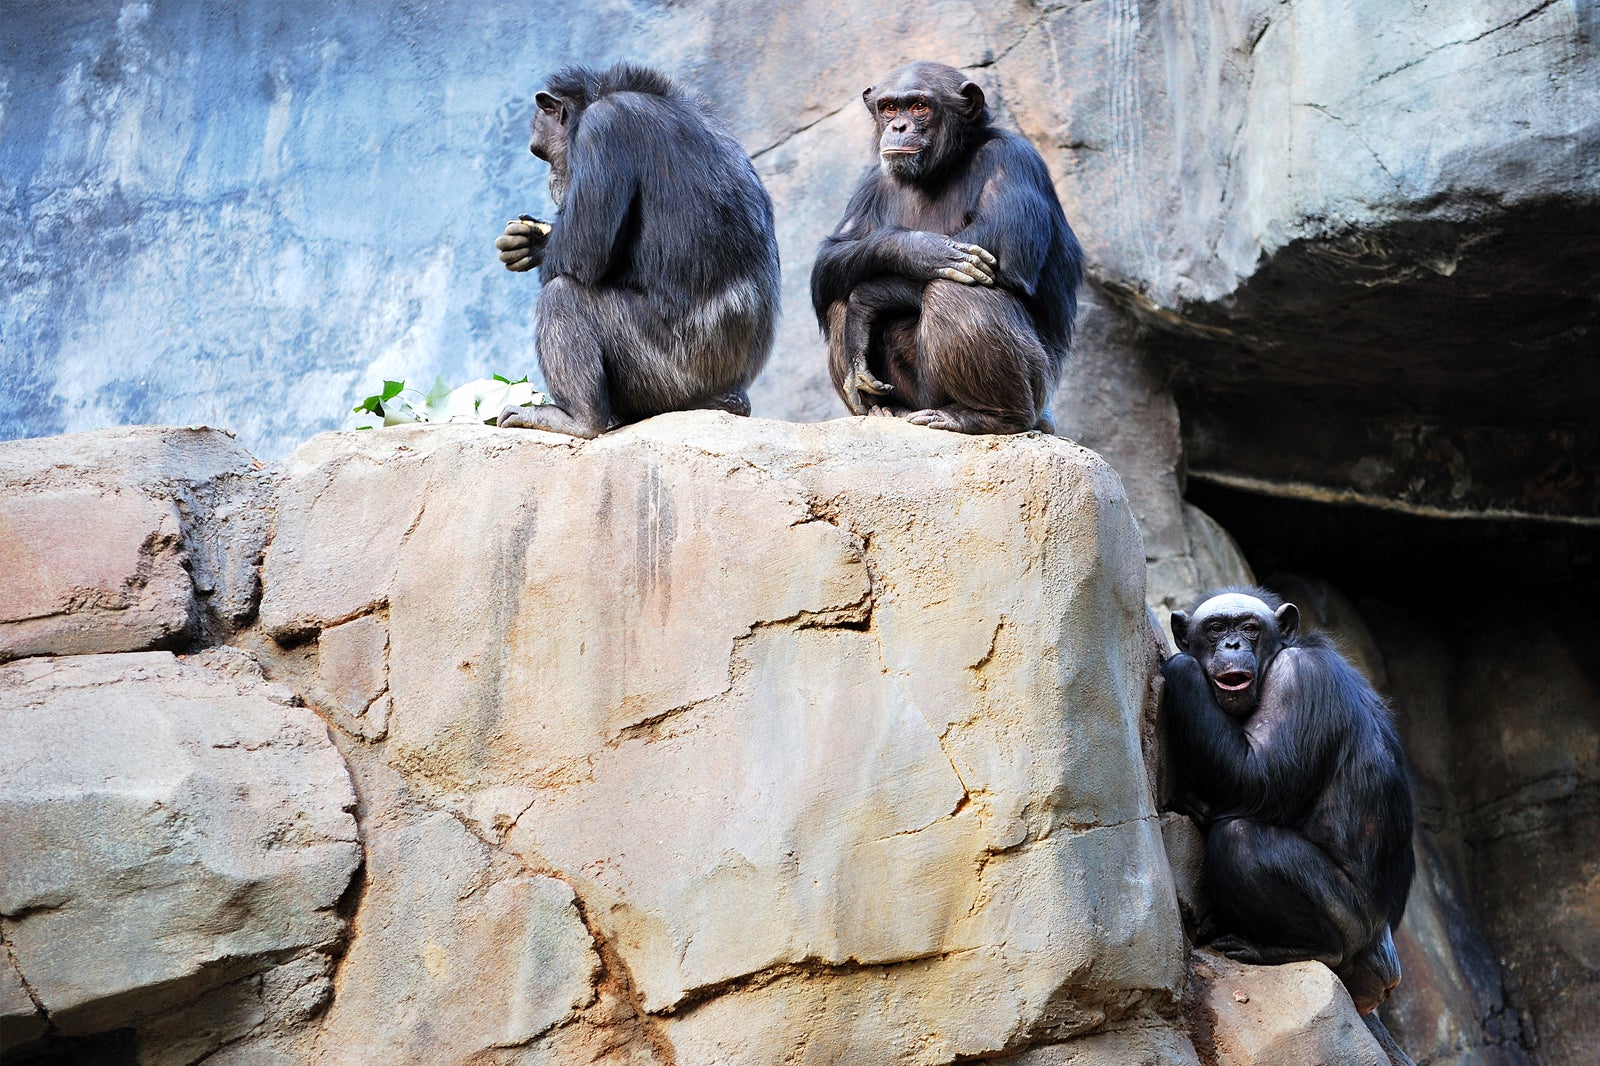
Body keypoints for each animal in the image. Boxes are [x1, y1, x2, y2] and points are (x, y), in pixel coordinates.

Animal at [492, 63, 780, 435]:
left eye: (539, 152)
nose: (550, 177)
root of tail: (732, 395)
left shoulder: (601, 130)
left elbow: (581, 252)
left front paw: (541, 247)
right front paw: (528, 241)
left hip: (668, 374)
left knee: (563, 296)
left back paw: (578, 419)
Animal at [812, 61, 1088, 432]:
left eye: (918, 106)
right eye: (889, 108)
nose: (898, 126)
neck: (941, 167)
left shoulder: (1013, 158)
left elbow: (1005, 251)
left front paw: (867, 302)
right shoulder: (871, 182)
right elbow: (831, 258)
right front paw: (918, 251)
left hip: (1032, 390)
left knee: (954, 289)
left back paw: (988, 416)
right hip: (912, 397)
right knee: (839, 293)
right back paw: (884, 409)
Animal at [1164, 589, 1414, 1011]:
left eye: (1250, 628)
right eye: (1215, 628)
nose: (1233, 645)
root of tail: (1381, 974)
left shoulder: (1295, 677)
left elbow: (1256, 778)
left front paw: (1182, 667)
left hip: (1350, 922)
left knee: (1241, 838)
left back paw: (1298, 948)